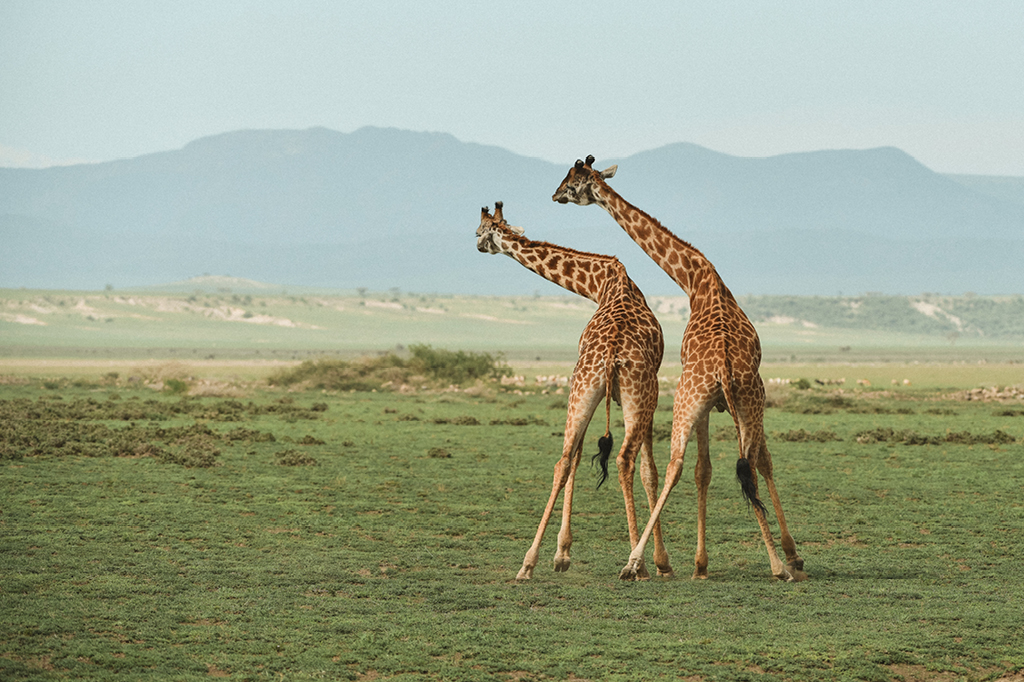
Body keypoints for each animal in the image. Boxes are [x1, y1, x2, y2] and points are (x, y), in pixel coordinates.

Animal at [476, 201, 672, 580]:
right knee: (624, 460)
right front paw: (661, 561)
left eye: (480, 230)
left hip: (583, 388)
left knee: (564, 460)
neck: (602, 282)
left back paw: (528, 564)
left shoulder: (595, 394)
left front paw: (562, 554)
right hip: (635, 393)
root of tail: (611, 354)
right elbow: (649, 471)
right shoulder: (648, 396)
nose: (476, 245)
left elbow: (579, 457)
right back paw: (635, 564)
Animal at [553, 156, 806, 582]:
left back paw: (637, 562)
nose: (554, 195)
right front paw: (786, 556)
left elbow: (708, 469)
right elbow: (727, 468)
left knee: (678, 465)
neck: (697, 278)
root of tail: (724, 370)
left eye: (573, 181)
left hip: (696, 401)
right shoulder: (730, 408)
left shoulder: (711, 408)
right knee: (743, 465)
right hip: (745, 405)